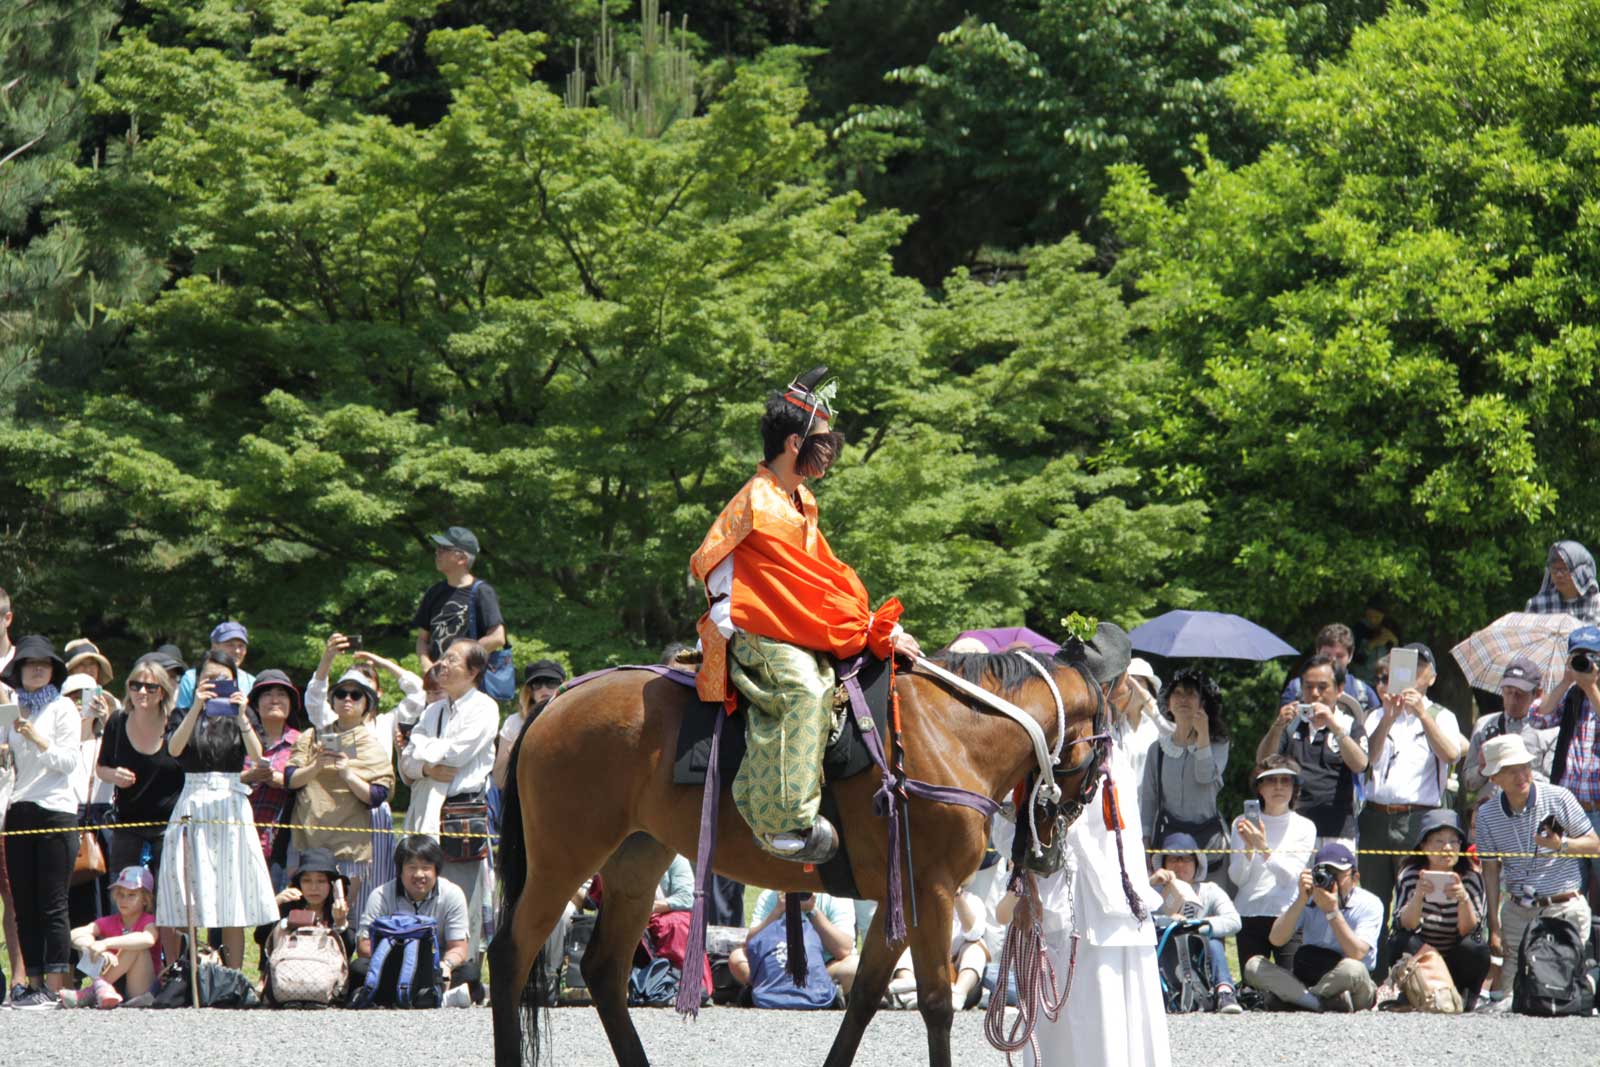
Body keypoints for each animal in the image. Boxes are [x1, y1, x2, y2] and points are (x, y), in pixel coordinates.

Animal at [486, 652, 1107, 1067]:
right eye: (1102, 757)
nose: (1047, 850)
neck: (952, 734)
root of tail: (555, 702)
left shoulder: (898, 901)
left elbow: (863, 997)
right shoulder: (930, 893)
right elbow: (935, 1002)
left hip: (636, 863)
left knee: (603, 970)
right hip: (560, 861)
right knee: (510, 955)